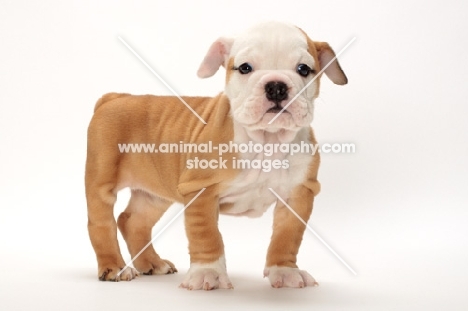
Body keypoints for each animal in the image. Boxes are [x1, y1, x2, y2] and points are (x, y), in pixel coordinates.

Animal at [85, 20, 348, 292]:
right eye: (245, 68)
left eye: (303, 69)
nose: (276, 86)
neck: (267, 141)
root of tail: (115, 97)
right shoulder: (202, 190)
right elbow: (207, 235)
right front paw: (207, 273)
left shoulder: (297, 195)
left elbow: (287, 236)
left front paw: (285, 272)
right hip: (102, 180)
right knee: (101, 222)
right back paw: (114, 267)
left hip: (154, 194)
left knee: (133, 221)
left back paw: (151, 263)